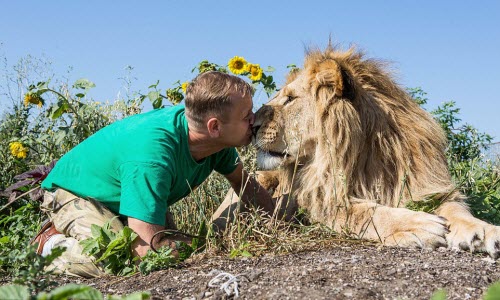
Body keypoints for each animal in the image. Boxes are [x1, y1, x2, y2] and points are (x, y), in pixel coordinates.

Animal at [216, 44, 500, 258]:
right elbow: (365, 212)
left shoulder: (428, 187)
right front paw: (418, 225)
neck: (365, 155)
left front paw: (485, 231)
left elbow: (457, 210)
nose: (252, 125)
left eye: (290, 99)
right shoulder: (317, 201)